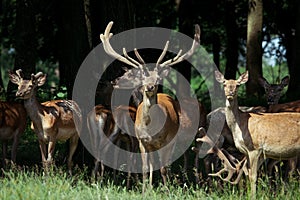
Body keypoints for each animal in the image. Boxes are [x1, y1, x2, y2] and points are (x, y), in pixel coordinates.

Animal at [100, 21, 202, 189]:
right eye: (142, 77)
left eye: (158, 77)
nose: (150, 87)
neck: (150, 127)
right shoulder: (142, 141)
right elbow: (145, 168)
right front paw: (144, 190)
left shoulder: (166, 141)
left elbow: (163, 168)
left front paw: (166, 190)